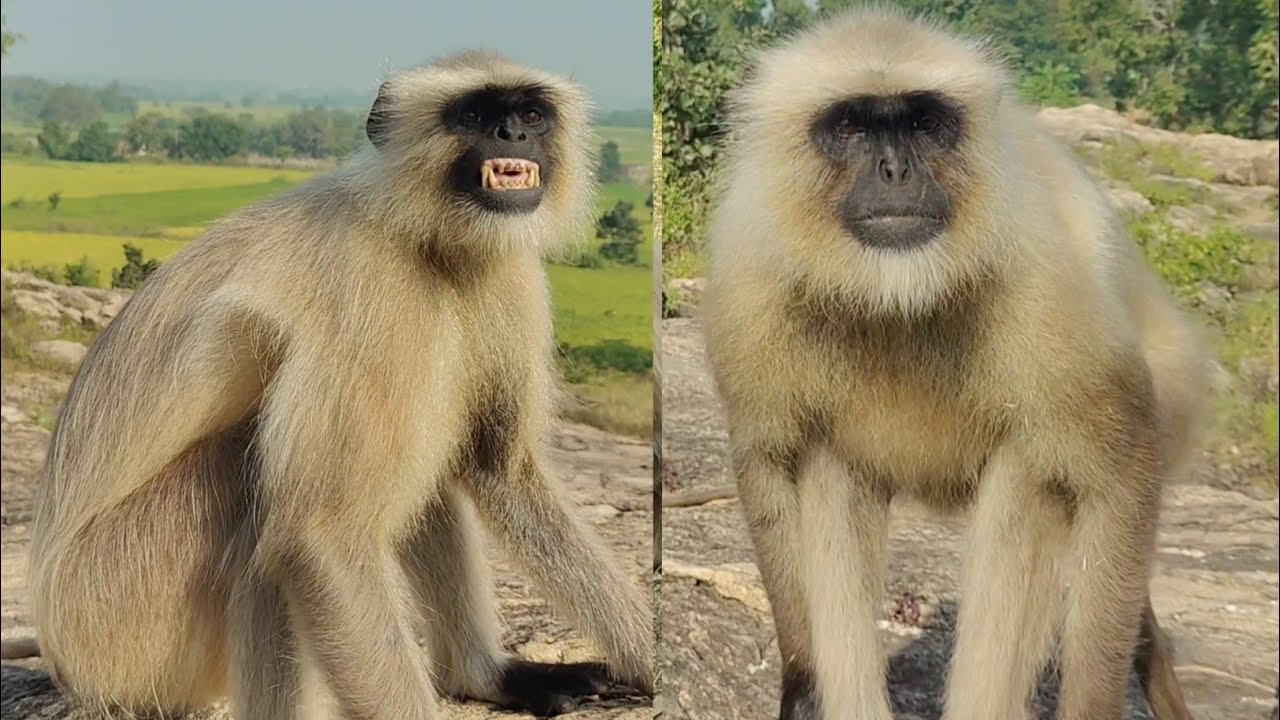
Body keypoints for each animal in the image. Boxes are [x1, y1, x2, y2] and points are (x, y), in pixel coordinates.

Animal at [15, 51, 653, 719]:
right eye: (474, 114)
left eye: (531, 114)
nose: (512, 136)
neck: (428, 241)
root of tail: (61, 655)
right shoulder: (370, 291)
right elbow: (319, 536)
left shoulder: (511, 274)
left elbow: (498, 468)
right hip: (118, 618)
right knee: (261, 500)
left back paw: (480, 677)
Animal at [700, 8, 1207, 720]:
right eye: (851, 126)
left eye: (923, 123)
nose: (894, 170)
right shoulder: (749, 276)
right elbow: (769, 460)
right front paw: (803, 685)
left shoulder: (1044, 278)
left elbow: (1120, 478)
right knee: (830, 466)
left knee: (1030, 475)